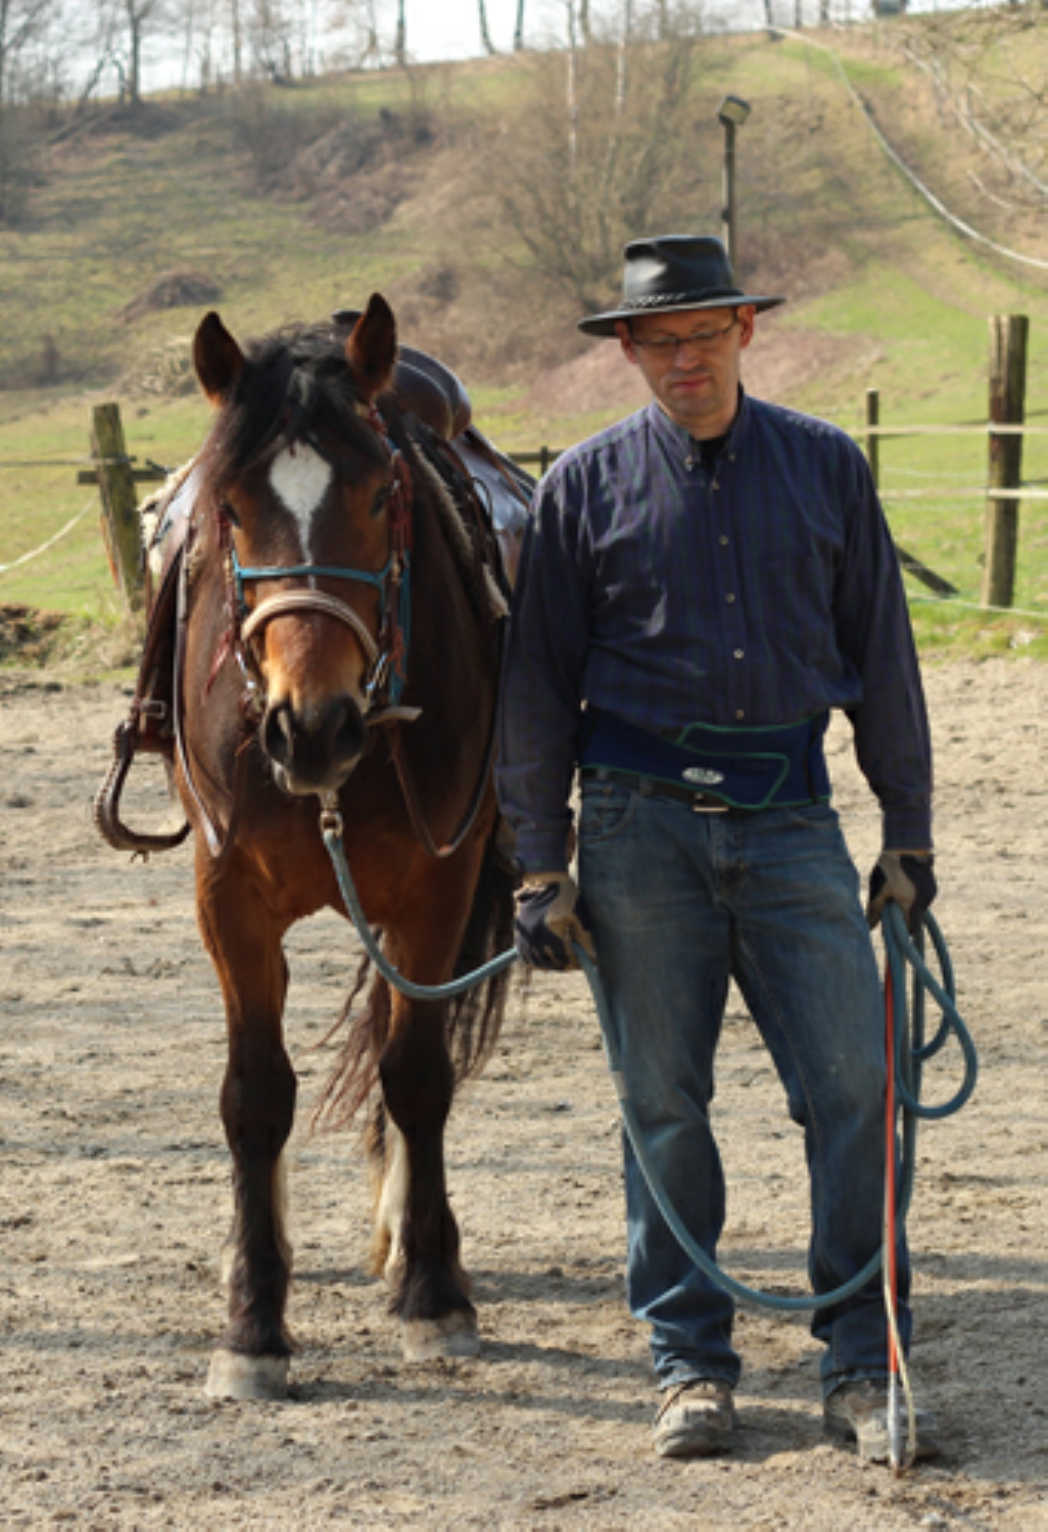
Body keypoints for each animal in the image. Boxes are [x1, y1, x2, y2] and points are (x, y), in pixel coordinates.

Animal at [111, 296, 517, 1399]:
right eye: (231, 505)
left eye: (382, 496)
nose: (312, 725)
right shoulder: (229, 901)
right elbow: (256, 1096)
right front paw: (253, 1321)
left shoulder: (436, 889)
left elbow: (415, 1074)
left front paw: (433, 1295)